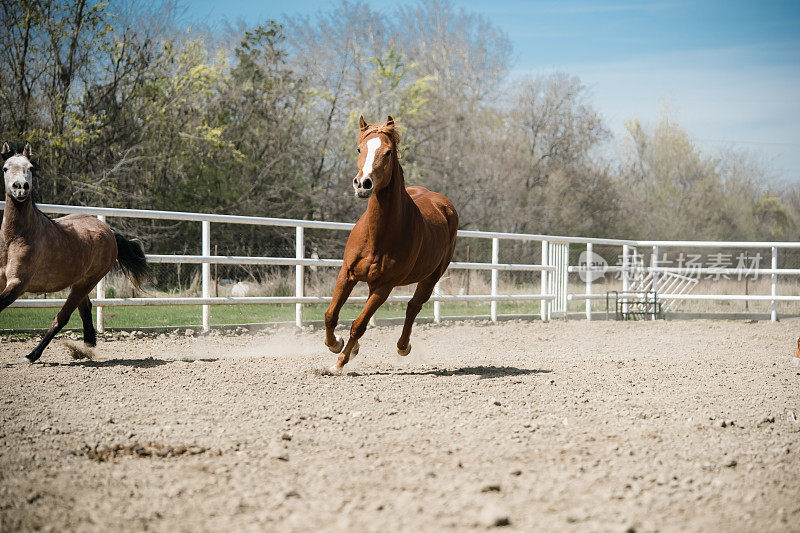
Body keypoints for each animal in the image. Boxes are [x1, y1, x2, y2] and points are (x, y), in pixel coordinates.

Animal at [0, 142, 148, 362]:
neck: (16, 238)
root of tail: (109, 231)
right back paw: (86, 347)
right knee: (85, 309)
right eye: (5, 168)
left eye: (31, 168)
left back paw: (33, 355)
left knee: (62, 317)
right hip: (78, 282)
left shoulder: (18, 283)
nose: (20, 187)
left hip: (87, 282)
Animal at [324, 117, 460, 370]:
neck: (378, 235)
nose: (363, 184)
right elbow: (331, 315)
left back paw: (403, 347)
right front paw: (336, 344)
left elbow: (359, 325)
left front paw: (339, 363)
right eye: (359, 149)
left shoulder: (384, 287)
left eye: (387, 152)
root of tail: (441, 202)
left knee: (413, 306)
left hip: (431, 277)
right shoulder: (347, 274)